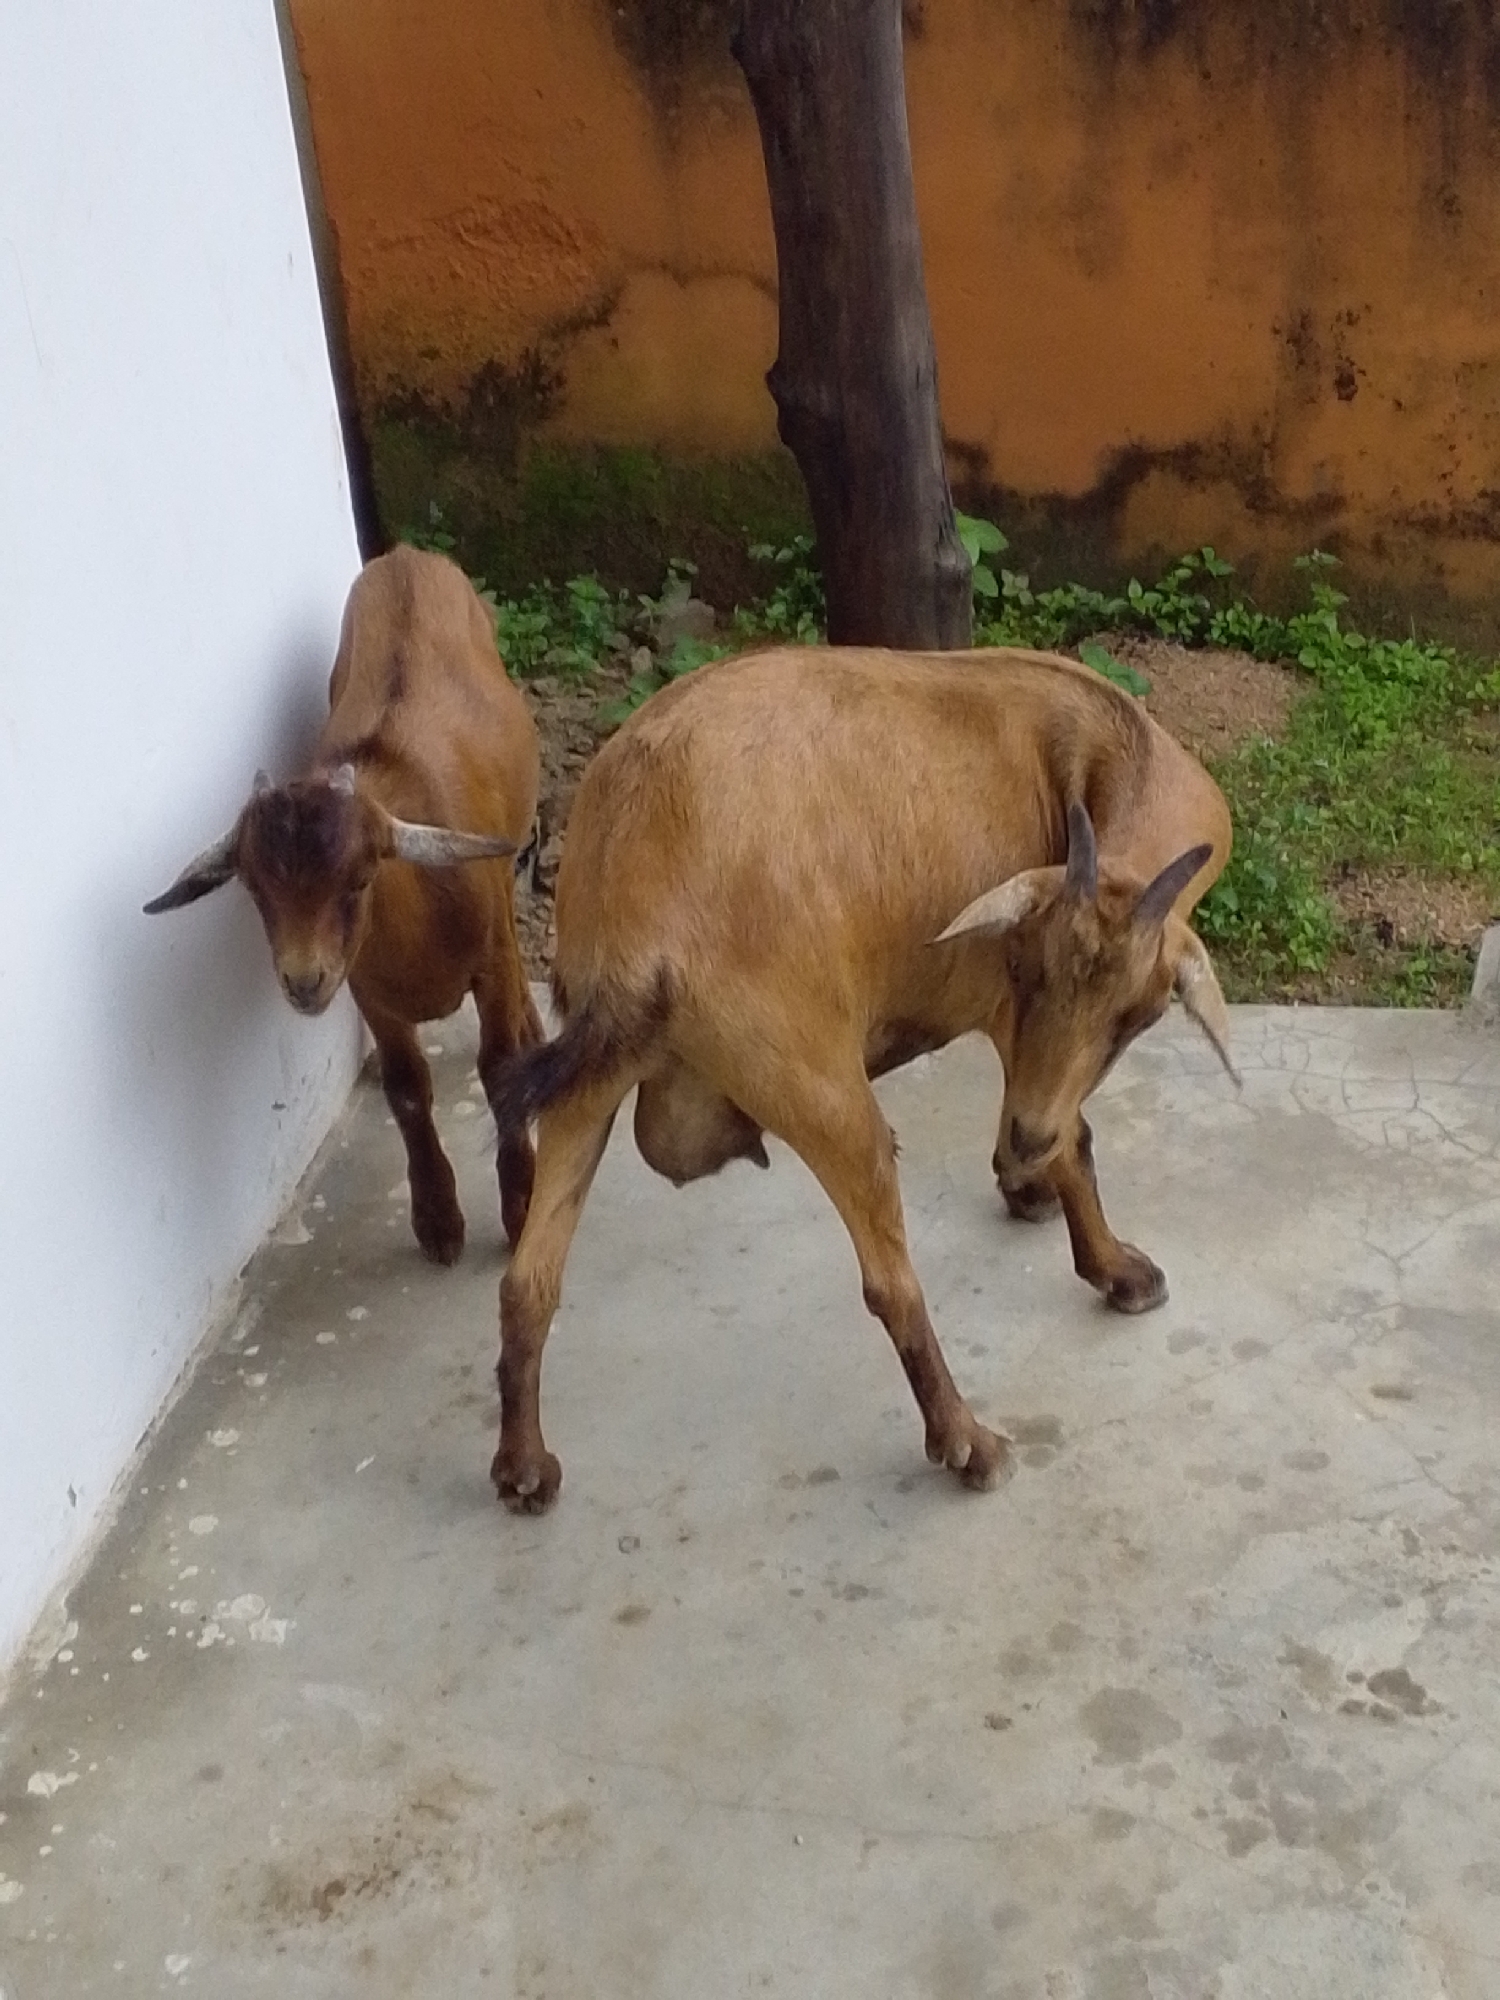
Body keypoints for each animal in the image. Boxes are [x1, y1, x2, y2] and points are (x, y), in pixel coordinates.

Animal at [145, 545, 545, 1264]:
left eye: (359, 880)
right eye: (255, 888)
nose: (304, 982)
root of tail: (406, 556)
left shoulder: (491, 960)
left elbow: (500, 1068)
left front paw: (520, 1207)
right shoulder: (367, 990)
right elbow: (407, 1090)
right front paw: (437, 1220)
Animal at [487, 642, 1238, 1511]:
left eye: (1137, 1017)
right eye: (1028, 968)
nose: (1023, 1142)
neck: (1103, 749)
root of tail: (640, 903)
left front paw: (1028, 1189)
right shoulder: (1007, 1017)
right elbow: (1074, 1134)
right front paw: (1115, 1269)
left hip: (588, 1070)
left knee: (530, 1275)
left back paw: (523, 1466)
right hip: (816, 1082)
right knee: (888, 1277)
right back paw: (970, 1444)